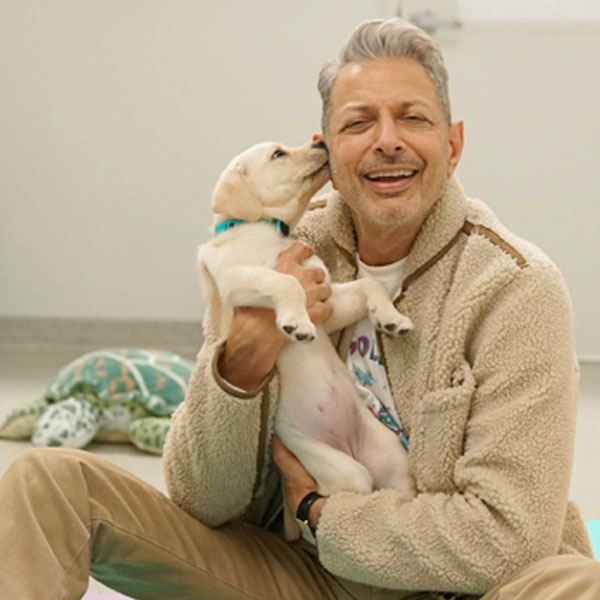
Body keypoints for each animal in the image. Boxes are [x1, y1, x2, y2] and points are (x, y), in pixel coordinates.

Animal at [199, 141, 414, 540]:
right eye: (278, 154)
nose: (320, 142)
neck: (267, 230)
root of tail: (349, 447)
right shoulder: (238, 280)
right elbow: (285, 281)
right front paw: (295, 322)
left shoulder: (327, 300)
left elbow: (368, 284)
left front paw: (391, 317)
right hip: (339, 467)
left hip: (392, 457)